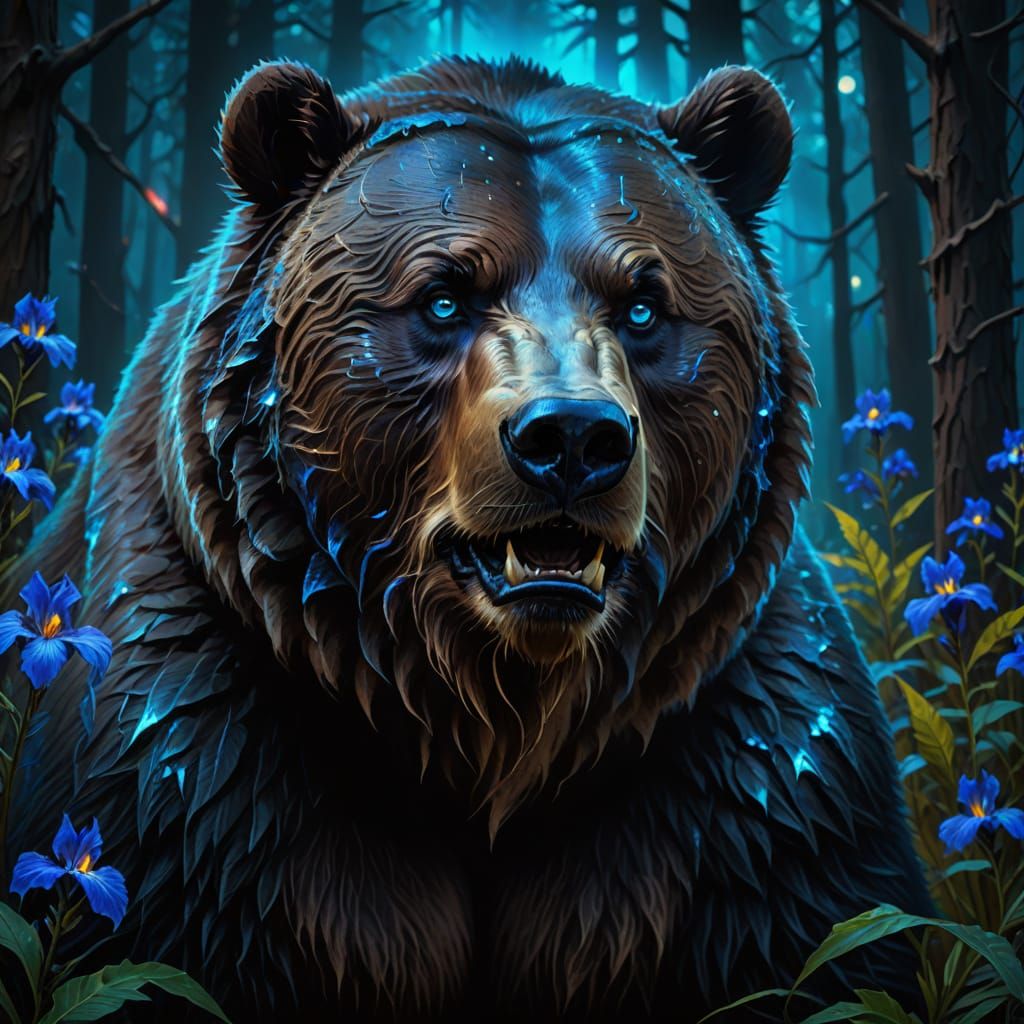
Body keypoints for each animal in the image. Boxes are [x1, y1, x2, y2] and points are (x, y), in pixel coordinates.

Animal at [8, 56, 932, 1021]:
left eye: (645, 306)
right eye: (444, 296)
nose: (573, 440)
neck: (494, 727)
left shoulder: (752, 782)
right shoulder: (198, 765)